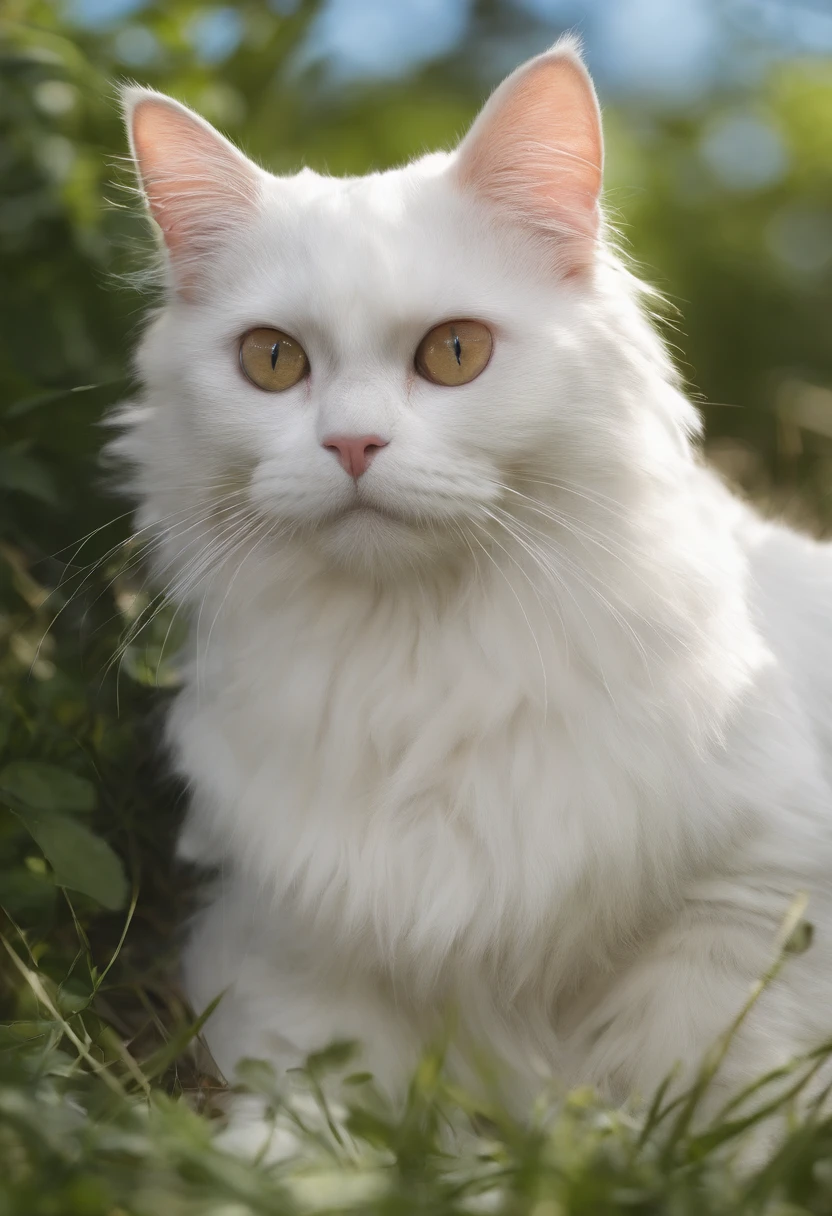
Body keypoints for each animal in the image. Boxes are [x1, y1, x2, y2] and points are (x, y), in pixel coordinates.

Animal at [113, 38, 832, 1118]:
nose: (351, 444)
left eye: (455, 352)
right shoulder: (286, 943)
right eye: (273, 361)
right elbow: (317, 1099)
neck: (422, 656)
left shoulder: (753, 902)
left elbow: (718, 1095)